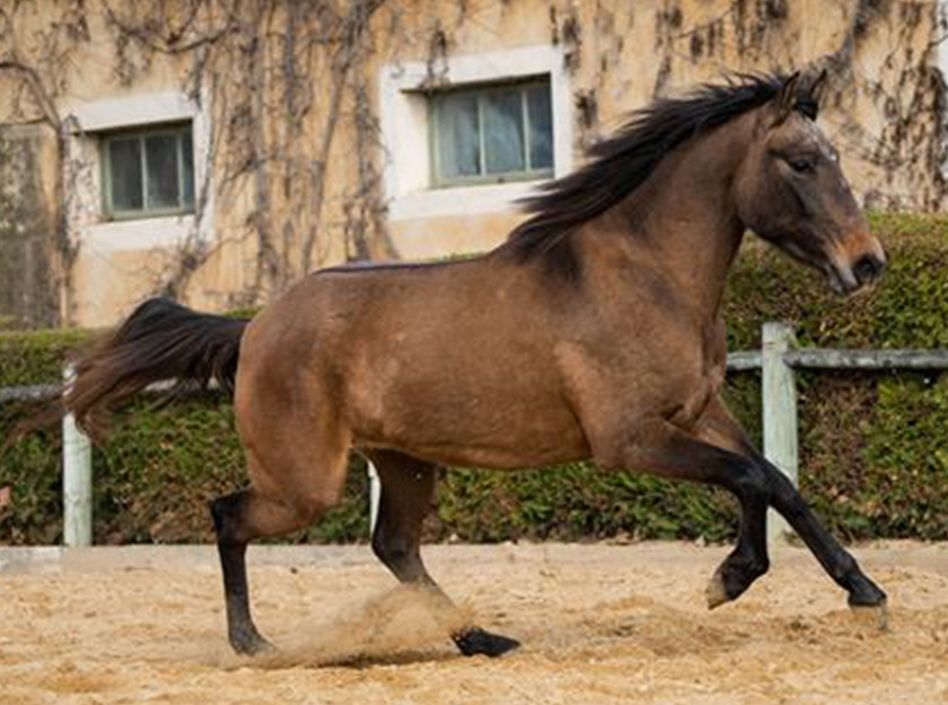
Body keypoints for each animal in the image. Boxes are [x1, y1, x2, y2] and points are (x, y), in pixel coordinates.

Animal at [59, 70, 888, 656]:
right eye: (802, 161)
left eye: (832, 158)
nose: (869, 262)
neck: (647, 272)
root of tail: (255, 326)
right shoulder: (631, 438)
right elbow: (750, 477)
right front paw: (728, 580)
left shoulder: (699, 410)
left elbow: (777, 480)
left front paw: (863, 589)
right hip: (305, 482)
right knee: (230, 516)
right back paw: (253, 643)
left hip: (402, 461)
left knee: (394, 546)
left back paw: (480, 638)